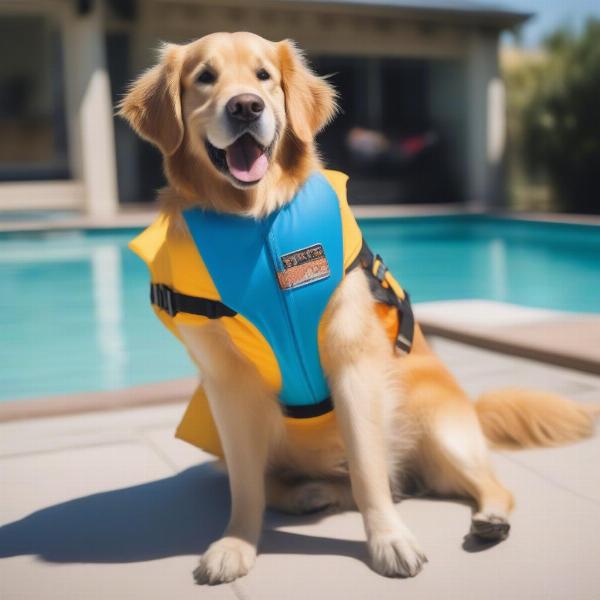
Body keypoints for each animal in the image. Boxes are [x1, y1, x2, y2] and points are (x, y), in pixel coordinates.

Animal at [119, 30, 596, 584]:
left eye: (264, 76)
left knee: (489, 485)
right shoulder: (228, 385)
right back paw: (310, 493)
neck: (256, 222)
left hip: (437, 425)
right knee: (288, 483)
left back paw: (489, 519)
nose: (245, 107)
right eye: (204, 77)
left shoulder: (351, 363)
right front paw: (236, 544)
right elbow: (246, 485)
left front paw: (389, 540)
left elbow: (370, 474)